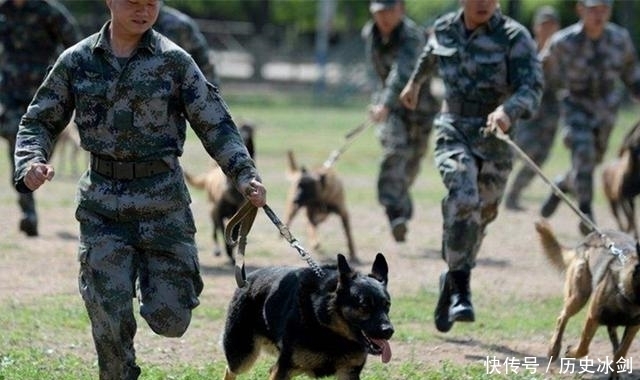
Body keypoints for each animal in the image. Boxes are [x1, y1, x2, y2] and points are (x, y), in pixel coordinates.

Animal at [184, 123, 254, 262]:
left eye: (249, 132)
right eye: (239, 129)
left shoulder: (239, 213)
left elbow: (235, 231)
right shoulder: (219, 213)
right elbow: (223, 232)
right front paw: (229, 252)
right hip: (212, 211)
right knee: (215, 231)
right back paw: (217, 249)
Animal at [225, 252, 396, 380]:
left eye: (387, 305)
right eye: (364, 306)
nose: (389, 331)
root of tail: (247, 279)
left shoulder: (348, 372)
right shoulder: (284, 370)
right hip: (242, 357)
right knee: (231, 370)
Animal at [532, 220, 640, 378]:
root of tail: (588, 238)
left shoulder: (633, 327)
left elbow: (621, 351)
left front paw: (615, 372)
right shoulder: (593, 316)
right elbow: (584, 346)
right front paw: (571, 352)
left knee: (614, 339)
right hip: (578, 296)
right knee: (562, 317)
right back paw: (554, 348)